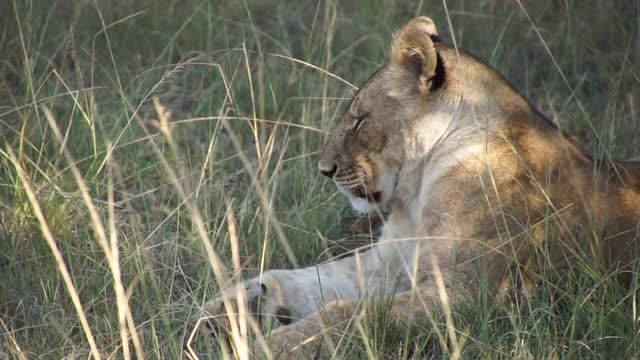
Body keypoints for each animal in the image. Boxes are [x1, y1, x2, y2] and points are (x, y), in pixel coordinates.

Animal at [199, 16, 640, 358]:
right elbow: (305, 278)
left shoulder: (469, 296)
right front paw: (229, 309)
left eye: (359, 120)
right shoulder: (387, 264)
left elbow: (344, 314)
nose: (325, 170)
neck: (417, 192)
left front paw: (266, 346)